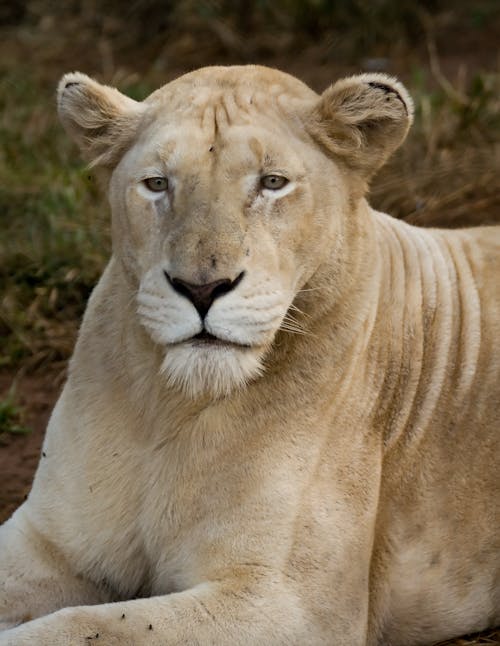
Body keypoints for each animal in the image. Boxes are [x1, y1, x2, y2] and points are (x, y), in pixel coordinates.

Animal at [0, 67, 500, 646]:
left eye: (272, 182)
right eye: (157, 184)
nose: (201, 288)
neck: (168, 408)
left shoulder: (294, 604)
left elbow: (86, 625)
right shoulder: (46, 542)